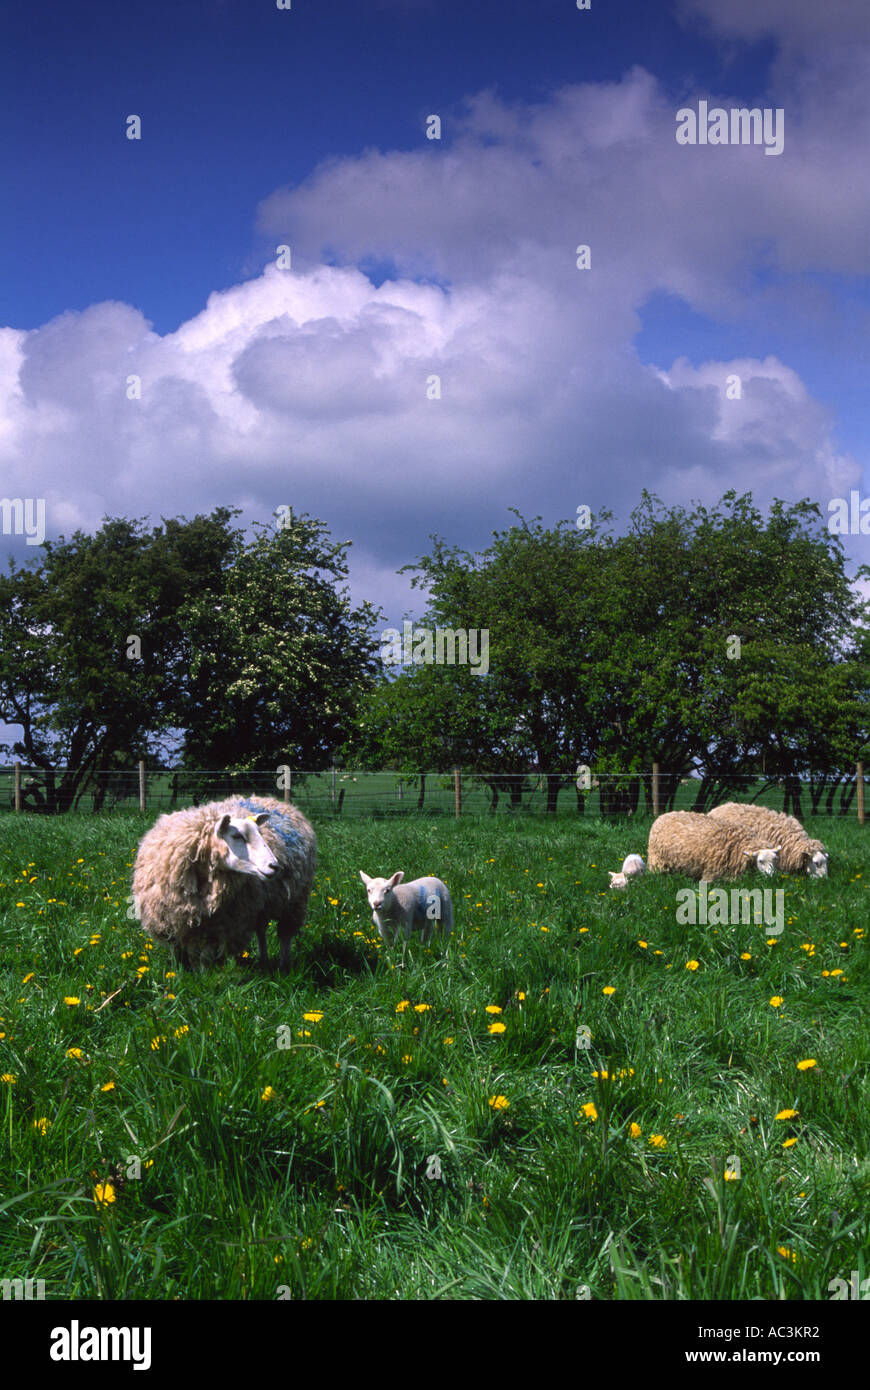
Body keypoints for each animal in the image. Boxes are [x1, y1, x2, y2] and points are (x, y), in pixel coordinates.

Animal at [132, 795, 316, 970]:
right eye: (236, 836)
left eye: (260, 833)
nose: (275, 866)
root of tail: (273, 800)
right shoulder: (171, 920)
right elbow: (183, 953)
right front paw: (182, 973)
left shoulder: (222, 924)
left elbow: (205, 956)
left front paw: (204, 975)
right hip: (262, 907)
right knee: (261, 930)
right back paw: (264, 961)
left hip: (294, 902)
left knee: (285, 934)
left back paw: (283, 966)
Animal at [647, 811, 780, 881]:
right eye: (760, 861)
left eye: (775, 860)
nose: (771, 876)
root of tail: (663, 815)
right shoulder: (711, 872)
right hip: (657, 860)